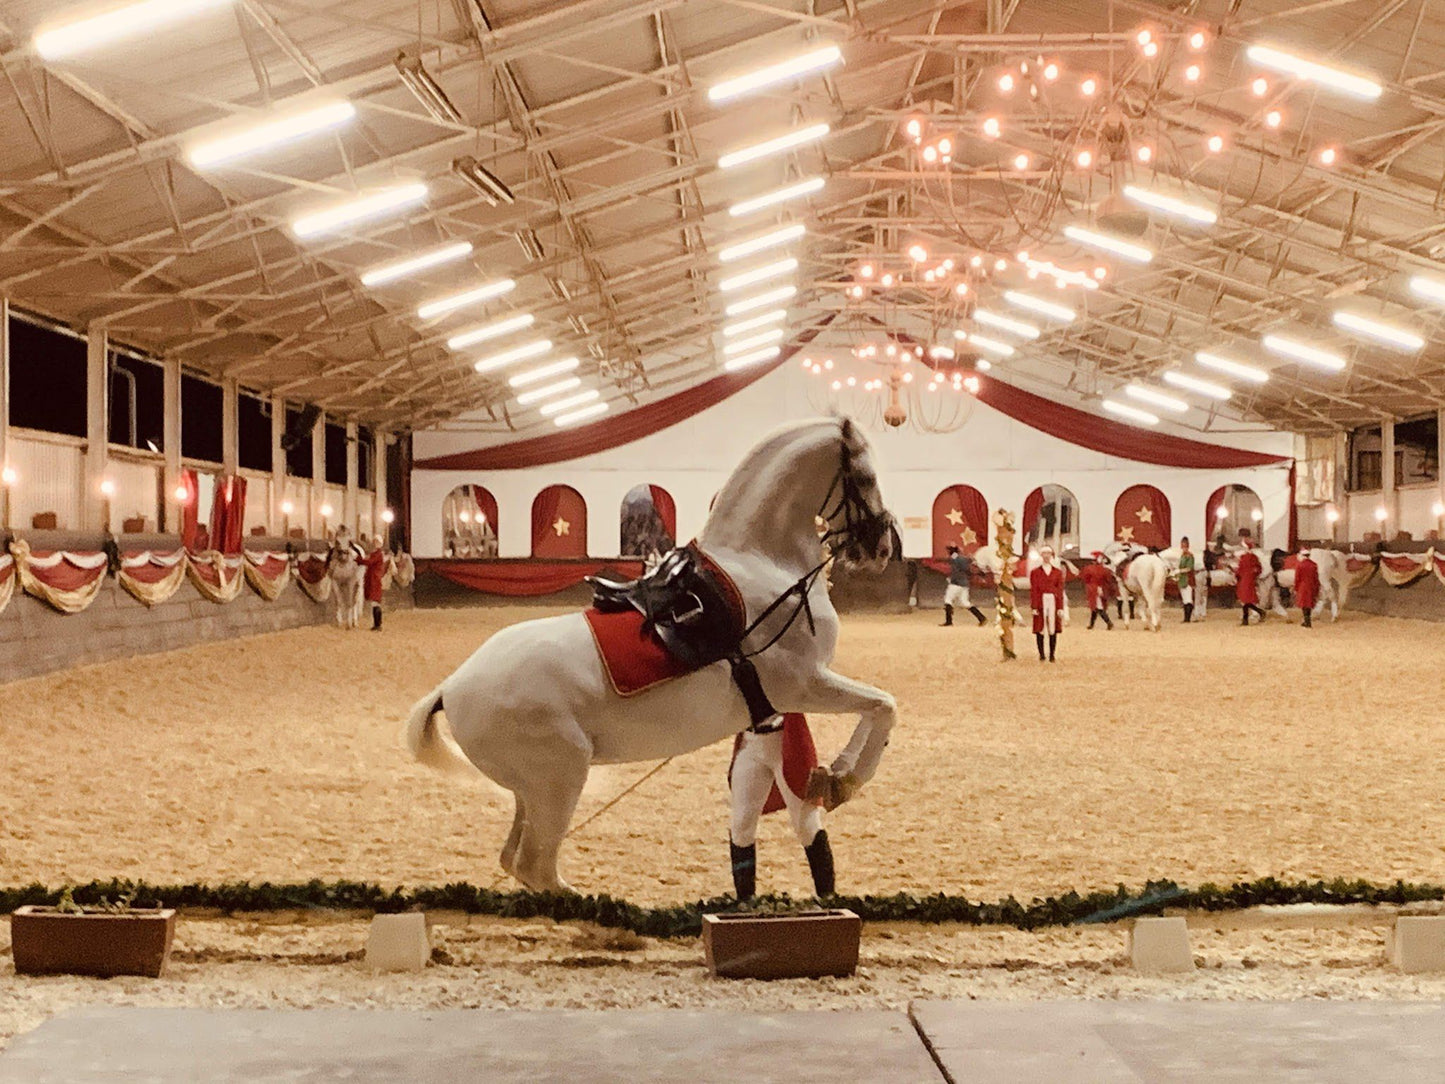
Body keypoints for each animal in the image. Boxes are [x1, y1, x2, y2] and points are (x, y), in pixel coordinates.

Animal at [401, 416, 895, 890]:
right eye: (866, 477)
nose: (883, 548)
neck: (762, 569)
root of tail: (451, 688)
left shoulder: (789, 698)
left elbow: (875, 710)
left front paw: (833, 778)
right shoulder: (803, 685)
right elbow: (883, 706)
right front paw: (844, 778)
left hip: (533, 790)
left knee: (516, 860)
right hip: (559, 779)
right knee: (535, 865)